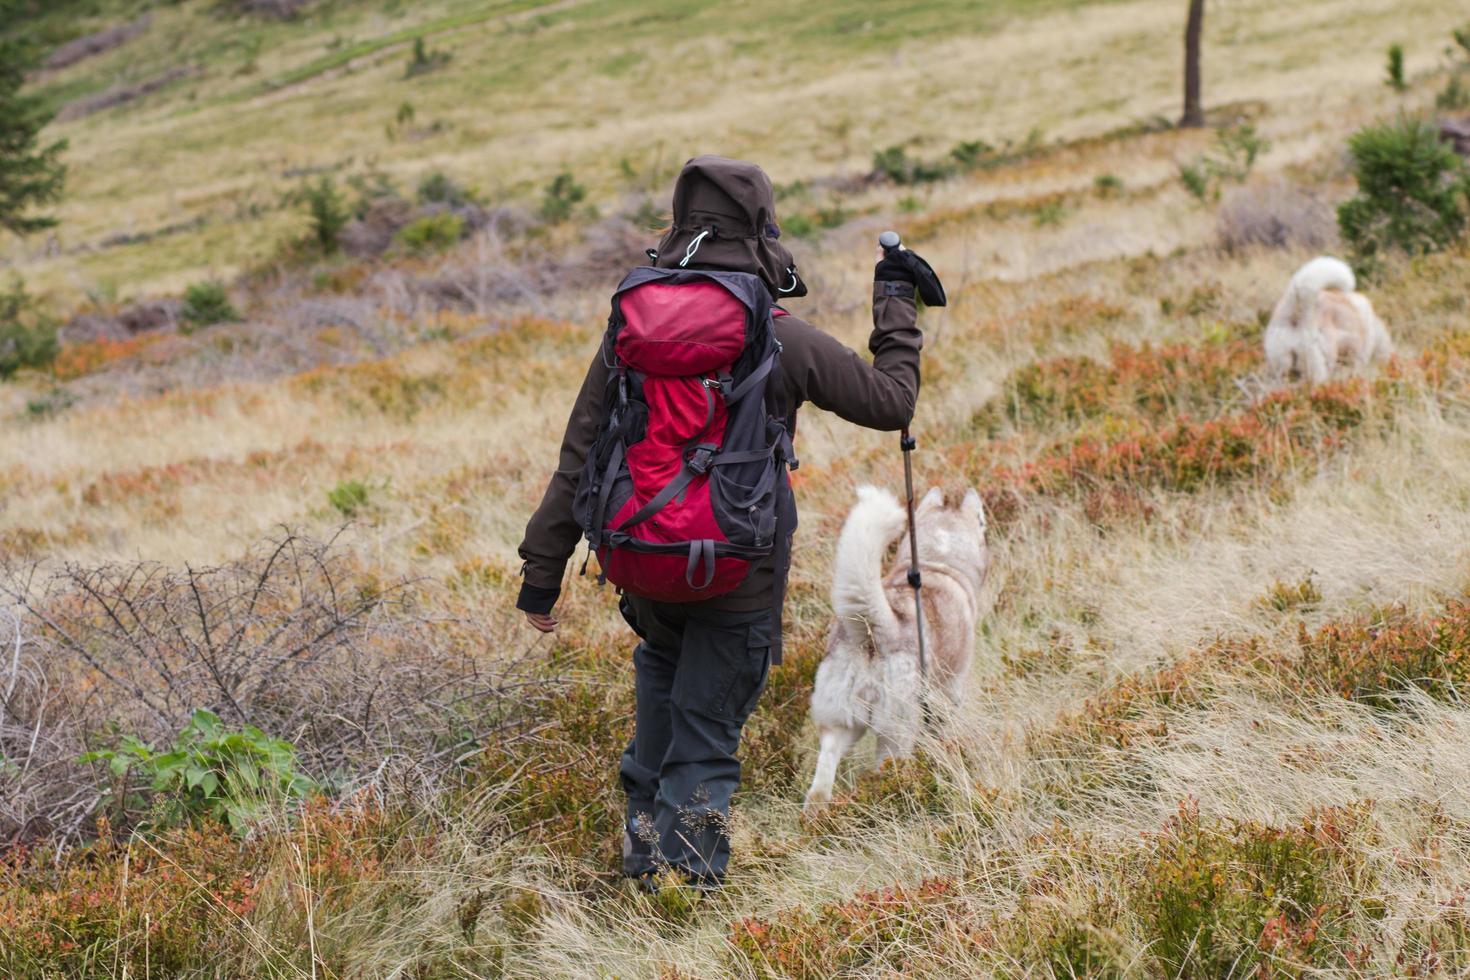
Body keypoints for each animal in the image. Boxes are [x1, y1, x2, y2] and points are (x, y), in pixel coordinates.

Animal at [805, 484, 987, 811]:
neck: (936, 559)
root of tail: (874, 629)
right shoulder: (950, 689)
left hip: (840, 723)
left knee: (819, 786)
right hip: (896, 730)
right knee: (887, 770)